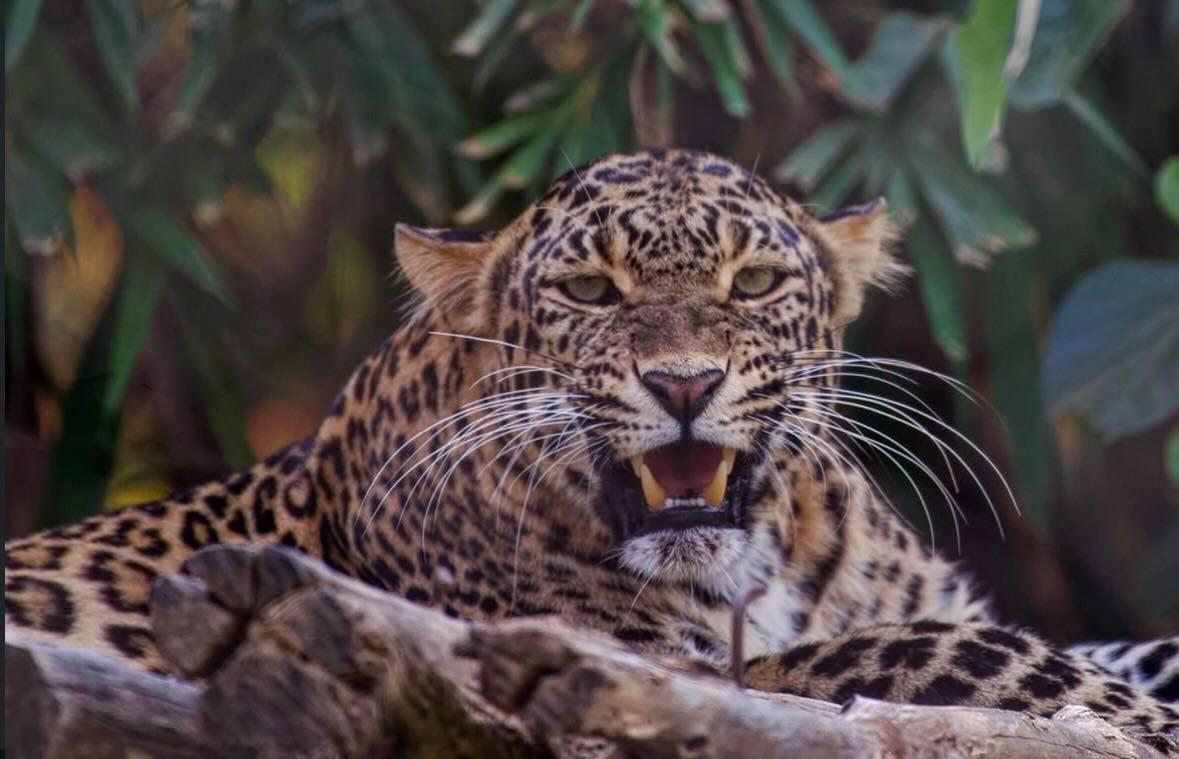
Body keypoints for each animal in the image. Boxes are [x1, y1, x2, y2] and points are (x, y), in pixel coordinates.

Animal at [7, 149, 1178, 737]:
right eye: (587, 292)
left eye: (753, 282)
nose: (684, 382)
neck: (773, 556)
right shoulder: (660, 673)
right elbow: (961, 650)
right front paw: (1135, 717)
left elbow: (1094, 642)